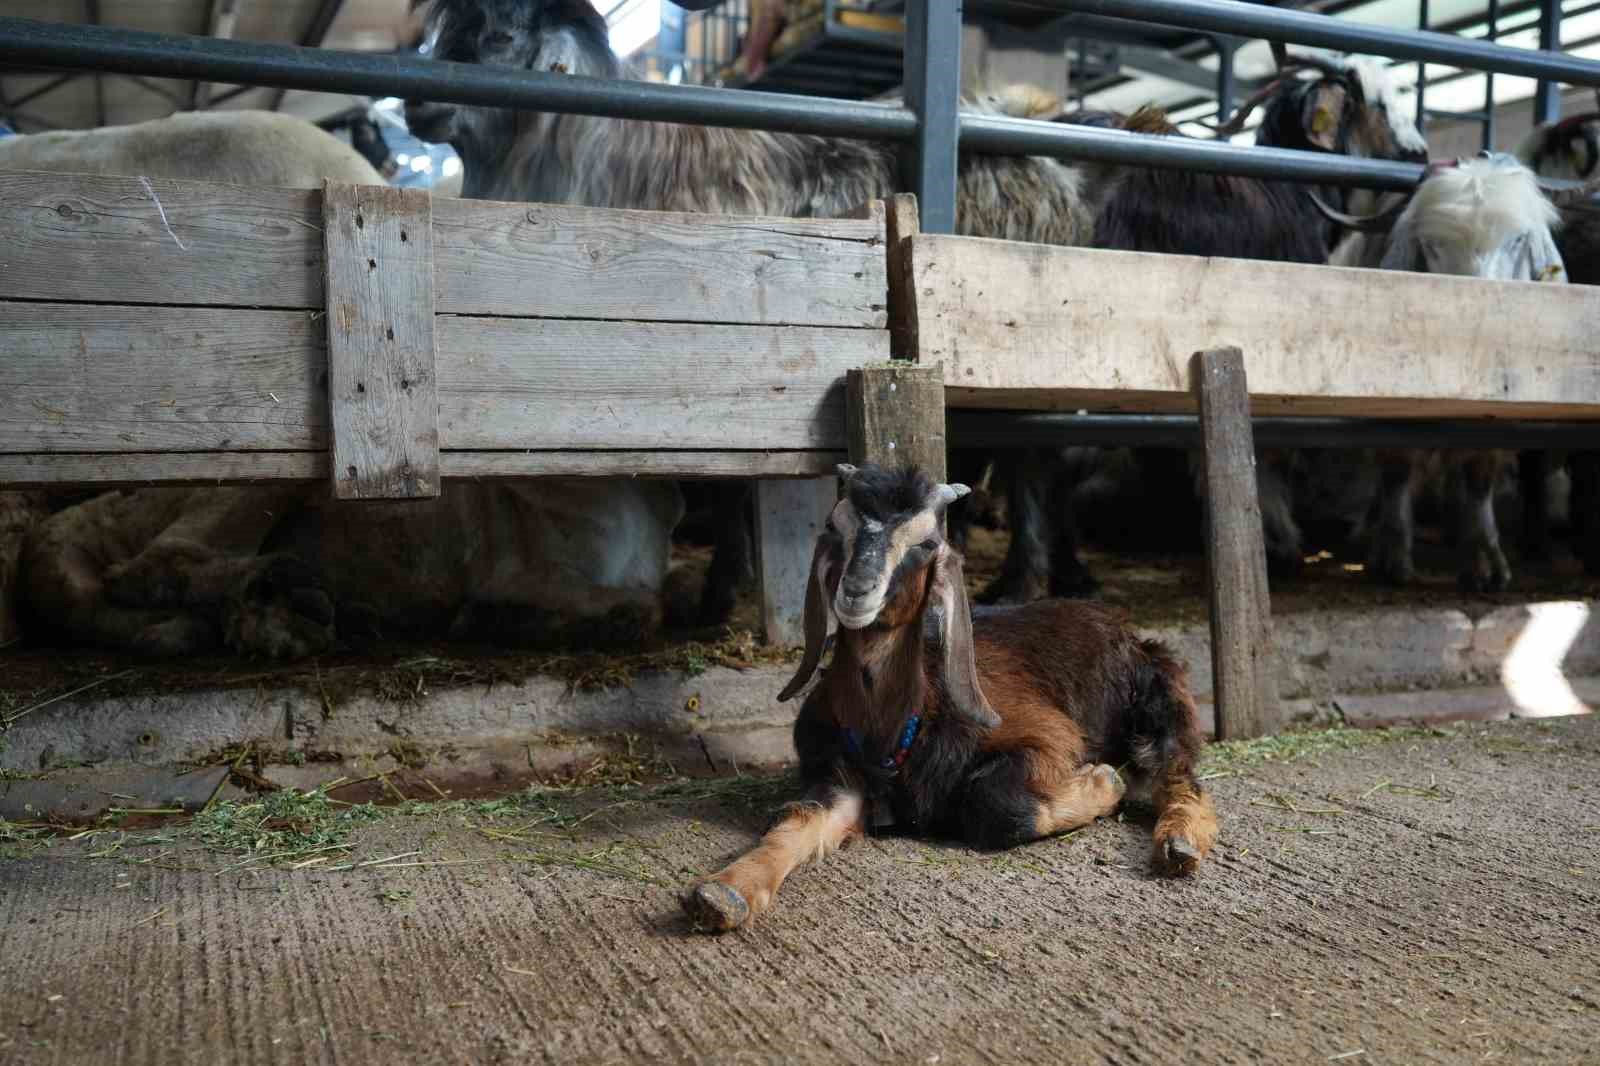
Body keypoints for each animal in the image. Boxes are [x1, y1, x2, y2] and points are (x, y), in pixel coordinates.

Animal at [681, 460, 1216, 928]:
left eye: (926, 543)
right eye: (836, 527)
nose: (857, 590)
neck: (901, 720)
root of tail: (1123, 627)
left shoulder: (1048, 737)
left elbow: (994, 803)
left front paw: (1103, 783)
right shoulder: (839, 778)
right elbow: (793, 824)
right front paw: (724, 892)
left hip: (1156, 704)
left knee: (1181, 775)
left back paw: (1179, 844)